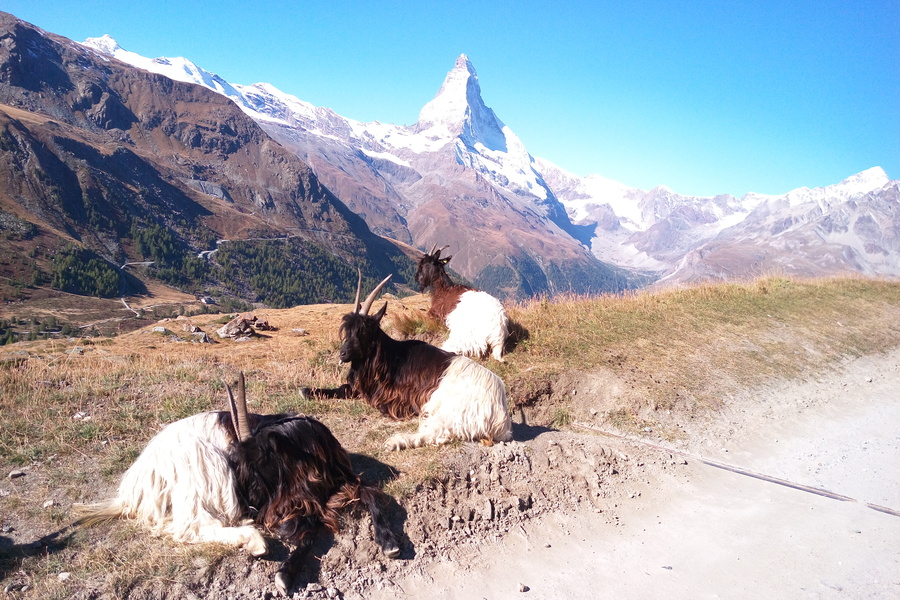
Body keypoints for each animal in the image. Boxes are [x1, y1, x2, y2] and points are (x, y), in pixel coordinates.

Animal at [74, 373, 399, 596]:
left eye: (258, 462)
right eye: (240, 464)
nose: (253, 506)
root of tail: (134, 485)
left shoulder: (339, 483)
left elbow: (372, 494)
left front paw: (389, 542)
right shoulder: (289, 504)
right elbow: (308, 531)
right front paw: (285, 573)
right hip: (203, 465)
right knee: (191, 527)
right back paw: (253, 539)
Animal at [303, 273, 513, 450]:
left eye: (364, 331)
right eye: (347, 330)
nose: (343, 354)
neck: (389, 356)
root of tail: (500, 417)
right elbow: (343, 388)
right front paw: (308, 391)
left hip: (449, 412)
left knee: (436, 433)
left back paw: (395, 441)